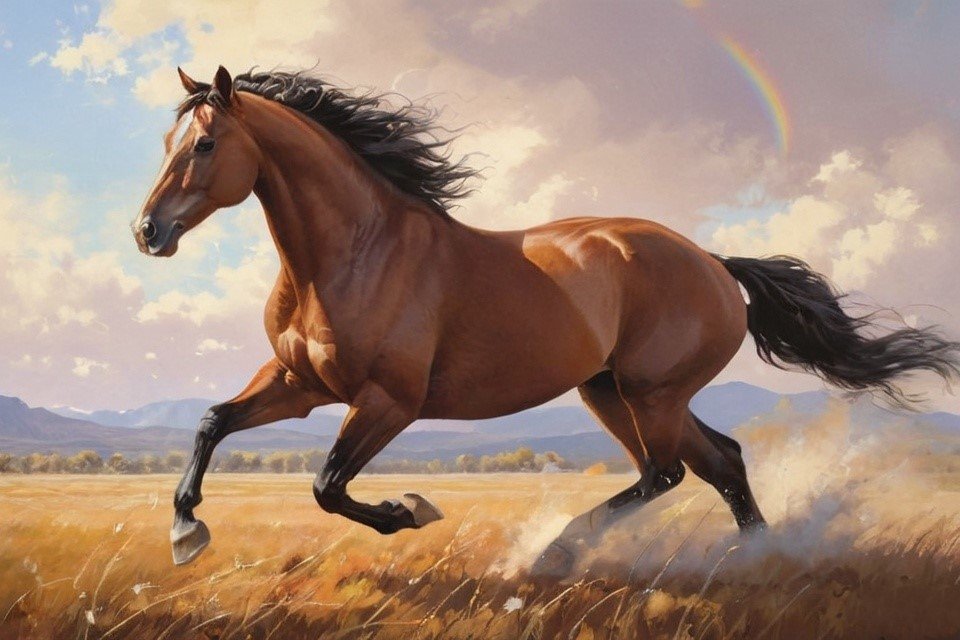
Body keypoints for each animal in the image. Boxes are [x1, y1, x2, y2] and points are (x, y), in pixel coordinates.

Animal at [132, 66, 960, 576]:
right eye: (168, 142)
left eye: (205, 143)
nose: (148, 232)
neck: (354, 251)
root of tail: (714, 262)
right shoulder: (300, 383)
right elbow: (211, 422)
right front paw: (185, 532)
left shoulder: (389, 401)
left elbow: (327, 486)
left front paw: (411, 511)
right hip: (614, 391)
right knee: (716, 462)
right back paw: (757, 560)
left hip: (650, 392)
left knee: (667, 471)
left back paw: (556, 554)